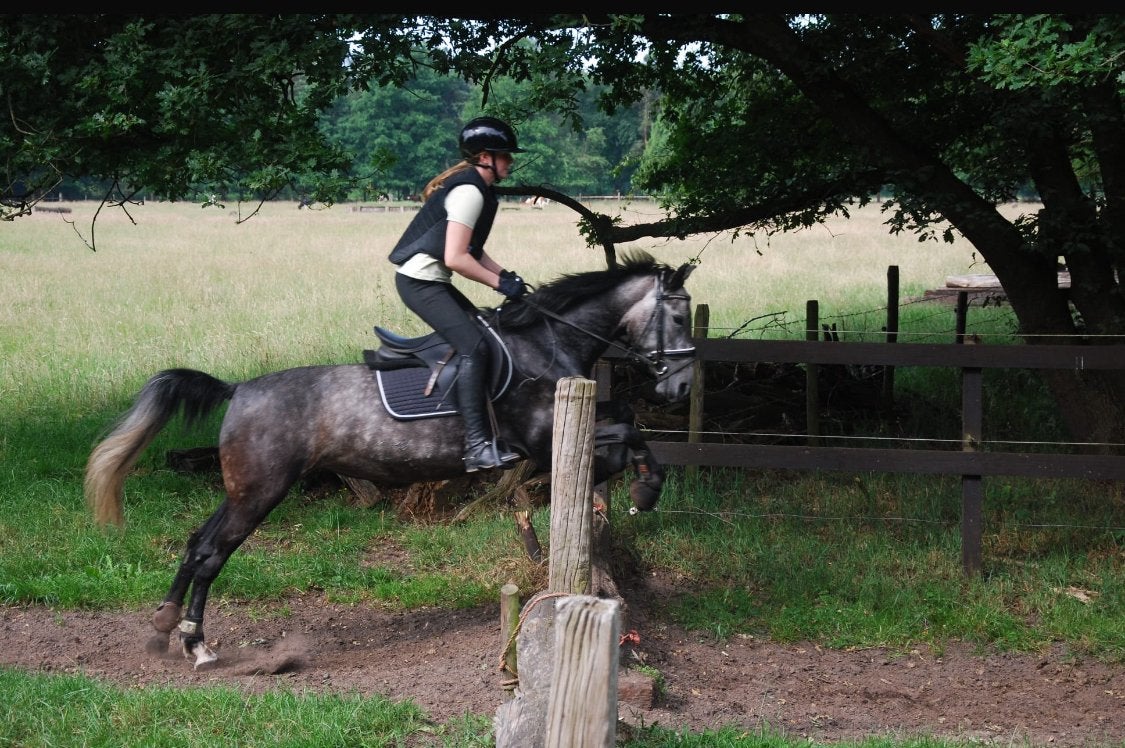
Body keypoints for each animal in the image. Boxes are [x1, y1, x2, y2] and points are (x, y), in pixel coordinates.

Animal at [85, 250, 697, 667]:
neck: (544, 344)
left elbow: (626, 421)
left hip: (242, 489)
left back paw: (167, 627)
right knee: (213, 552)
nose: (682, 388)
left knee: (197, 543)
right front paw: (644, 487)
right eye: (680, 318)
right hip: (260, 492)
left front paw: (638, 481)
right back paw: (196, 643)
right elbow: (625, 430)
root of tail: (238, 390)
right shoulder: (543, 440)